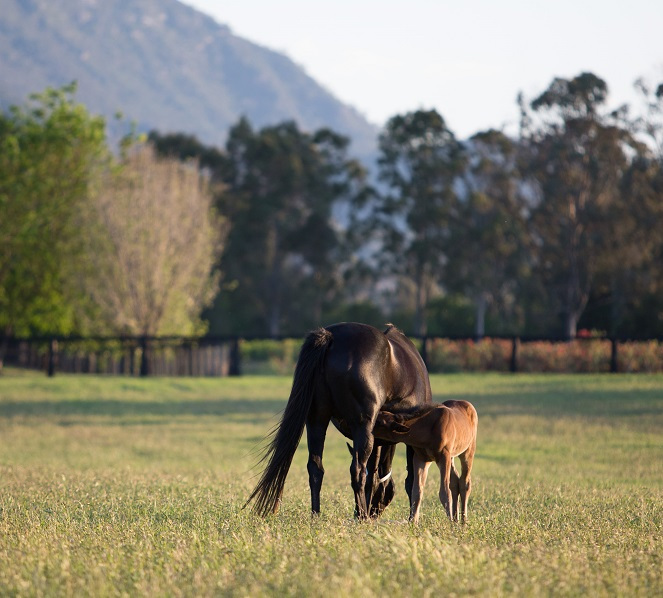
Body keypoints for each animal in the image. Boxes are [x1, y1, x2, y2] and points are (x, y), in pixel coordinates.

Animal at [246, 324, 434, 520]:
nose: (374, 513)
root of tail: (331, 336)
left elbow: (373, 474)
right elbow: (411, 479)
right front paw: (412, 518)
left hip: (317, 420)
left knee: (316, 468)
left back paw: (318, 515)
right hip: (361, 425)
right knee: (357, 470)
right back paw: (360, 516)